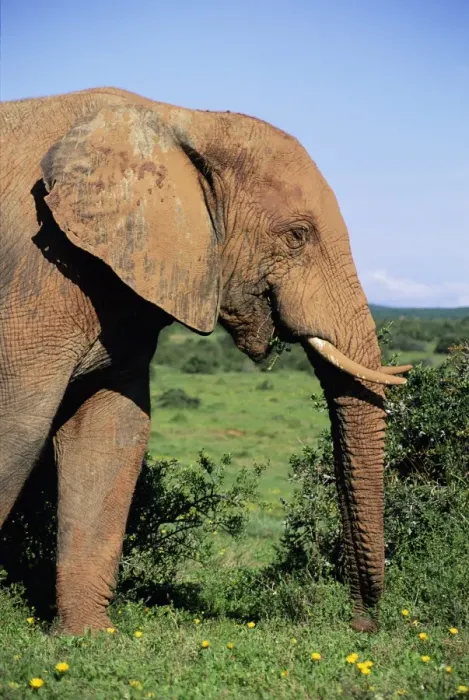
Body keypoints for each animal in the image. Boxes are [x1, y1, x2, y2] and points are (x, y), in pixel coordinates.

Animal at [0, 87, 411, 636]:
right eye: (296, 236)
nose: (361, 623)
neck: (184, 121)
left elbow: (112, 431)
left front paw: (86, 638)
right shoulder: (34, 276)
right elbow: (18, 425)